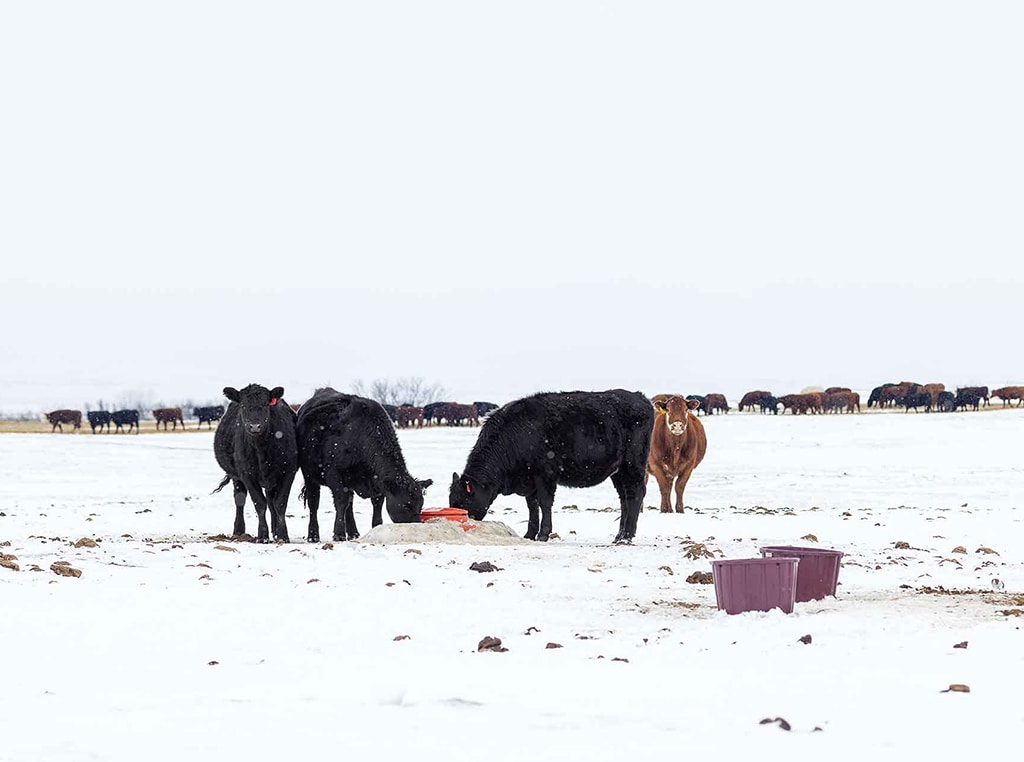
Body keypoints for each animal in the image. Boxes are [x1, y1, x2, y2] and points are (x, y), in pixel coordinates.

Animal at [211, 387, 299, 540]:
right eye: (243, 405)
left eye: (265, 404)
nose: (255, 426)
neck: (261, 448)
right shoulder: (247, 475)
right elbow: (259, 503)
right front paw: (262, 535)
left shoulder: (288, 472)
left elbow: (280, 503)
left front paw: (282, 535)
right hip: (236, 477)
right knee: (240, 499)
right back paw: (239, 530)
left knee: (271, 500)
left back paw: (275, 530)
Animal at [294, 387, 430, 540]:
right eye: (406, 505)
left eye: (421, 505)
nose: (416, 526)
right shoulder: (334, 474)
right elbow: (341, 501)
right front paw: (339, 533)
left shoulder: (376, 480)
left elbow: (376, 502)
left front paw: (376, 527)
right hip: (309, 475)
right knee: (314, 502)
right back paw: (313, 535)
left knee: (349, 504)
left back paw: (353, 532)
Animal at [450, 389, 655, 544]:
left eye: (462, 503)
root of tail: (640, 397)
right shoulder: (529, 481)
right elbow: (532, 507)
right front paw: (529, 534)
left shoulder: (545, 474)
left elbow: (545, 503)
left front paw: (543, 534)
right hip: (618, 470)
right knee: (624, 497)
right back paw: (619, 536)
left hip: (633, 464)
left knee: (635, 494)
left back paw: (626, 537)